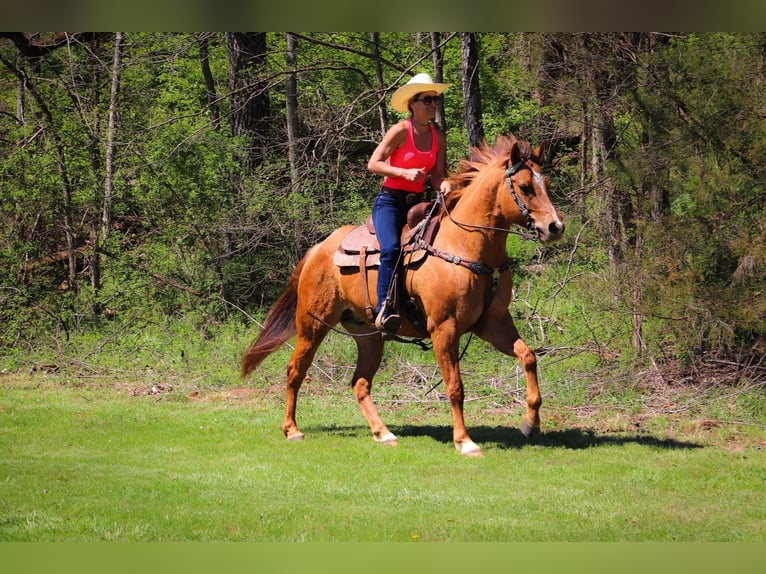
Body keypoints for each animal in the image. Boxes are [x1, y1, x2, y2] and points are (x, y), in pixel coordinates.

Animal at [243, 134, 568, 460]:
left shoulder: (493, 323)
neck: (465, 245)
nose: (555, 227)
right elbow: (455, 386)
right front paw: (464, 441)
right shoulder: (443, 328)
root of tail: (319, 247)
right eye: (525, 187)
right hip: (313, 325)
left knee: (360, 382)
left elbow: (528, 357)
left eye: (547, 183)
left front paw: (530, 423)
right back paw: (292, 429)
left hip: (368, 335)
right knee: (295, 371)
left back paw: (383, 432)